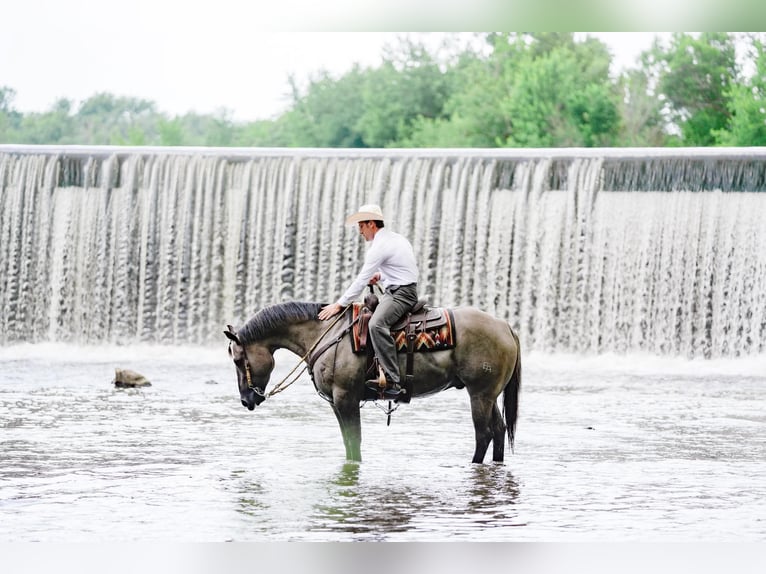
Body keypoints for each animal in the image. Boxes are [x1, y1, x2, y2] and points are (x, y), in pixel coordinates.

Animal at [224, 301, 521, 464]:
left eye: (238, 360)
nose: (246, 400)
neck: (326, 334)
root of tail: (505, 325)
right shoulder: (336, 403)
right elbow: (347, 441)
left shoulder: (346, 398)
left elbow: (355, 440)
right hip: (489, 395)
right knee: (499, 430)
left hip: (479, 394)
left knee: (483, 434)